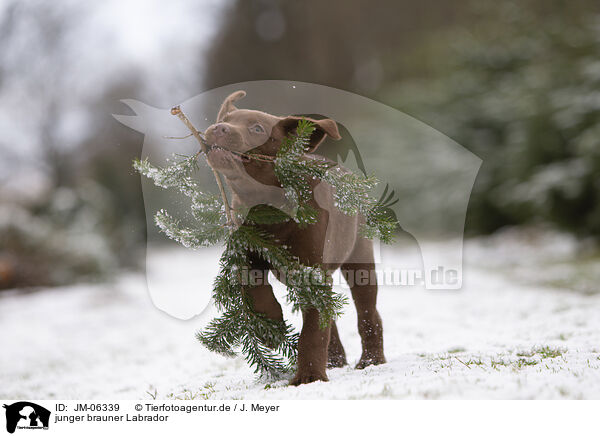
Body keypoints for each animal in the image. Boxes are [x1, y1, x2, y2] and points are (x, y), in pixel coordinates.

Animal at [204, 90, 386, 384]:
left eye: (257, 129)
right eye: (226, 119)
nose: (219, 128)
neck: (267, 204)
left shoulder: (313, 269)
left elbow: (312, 331)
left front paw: (310, 376)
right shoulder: (246, 251)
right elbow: (254, 288)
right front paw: (271, 324)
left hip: (359, 259)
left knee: (367, 313)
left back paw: (371, 360)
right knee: (328, 316)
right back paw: (335, 360)